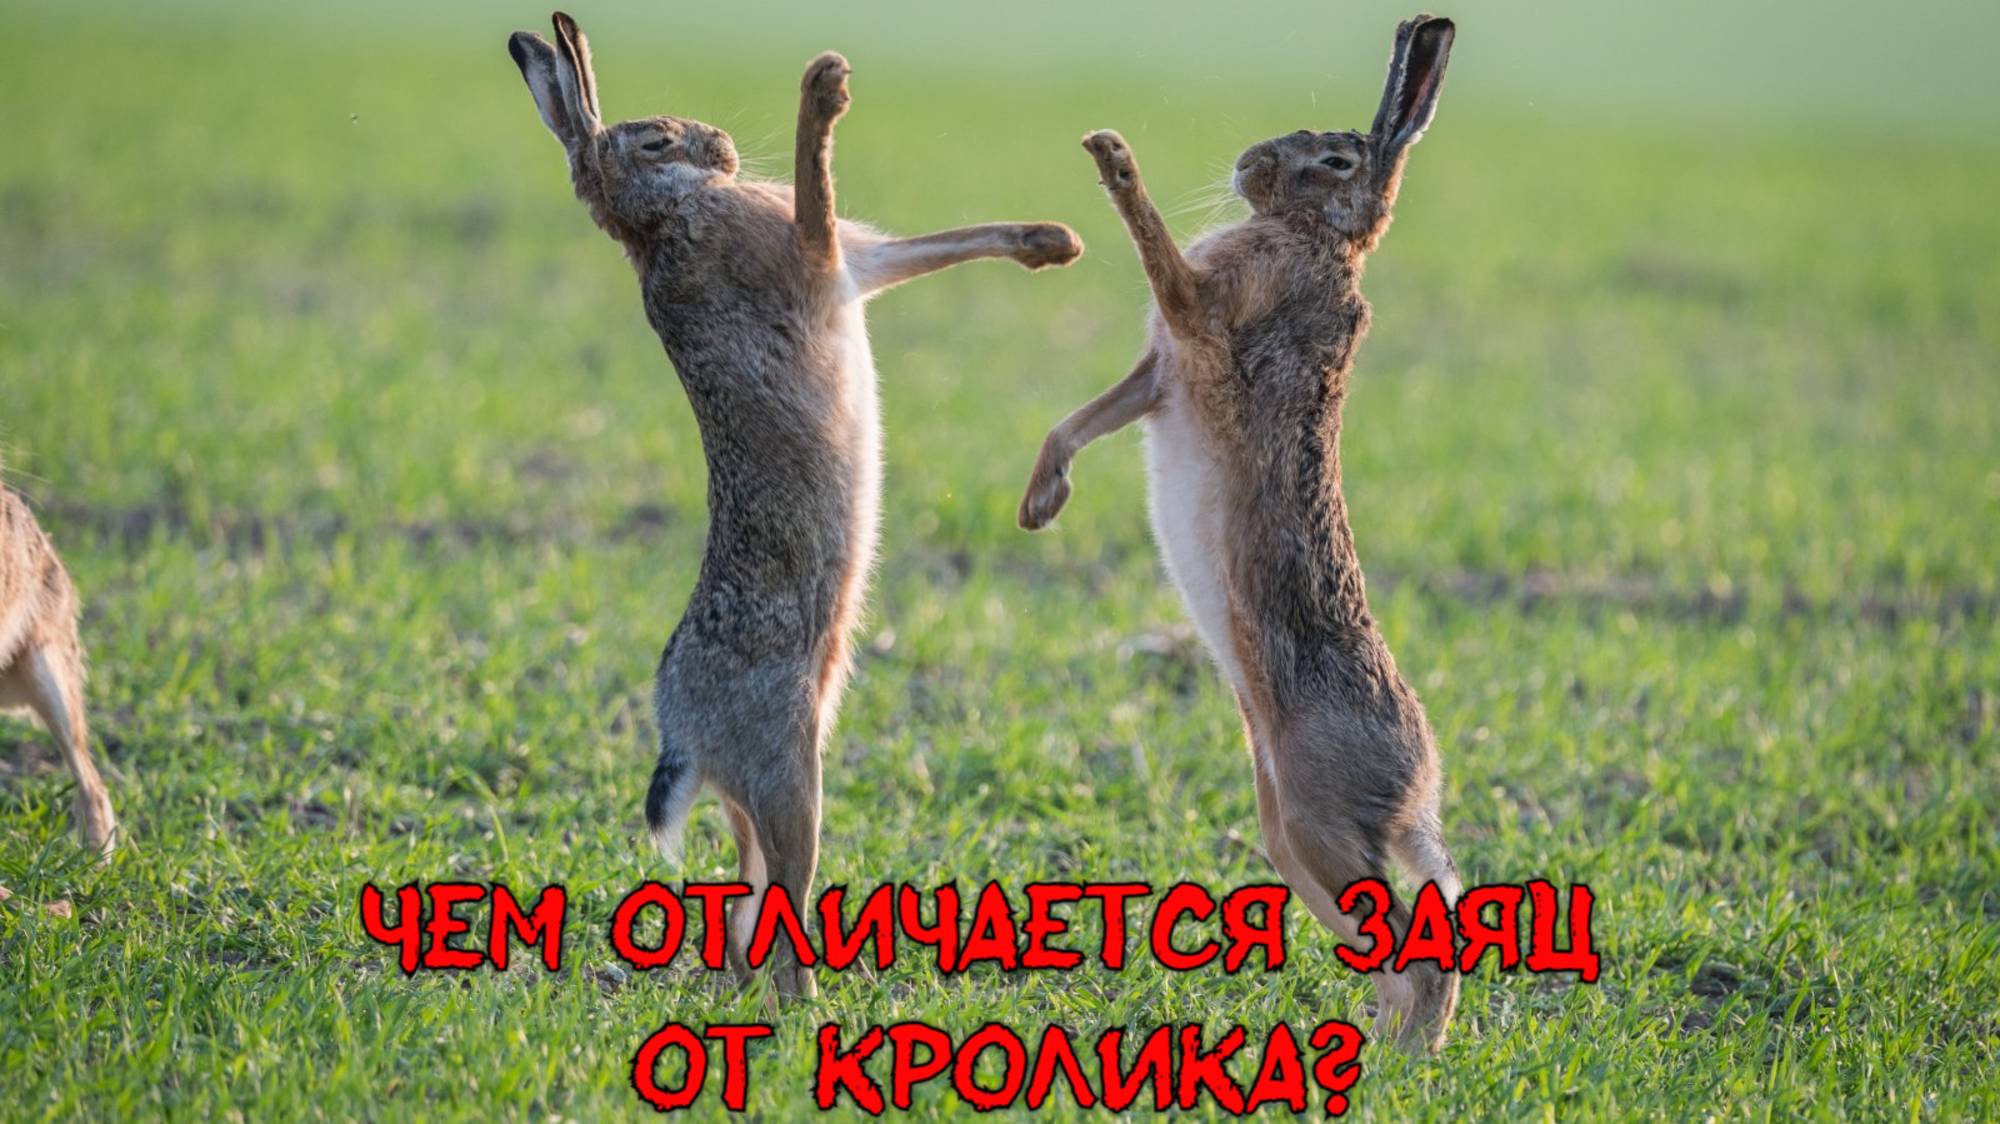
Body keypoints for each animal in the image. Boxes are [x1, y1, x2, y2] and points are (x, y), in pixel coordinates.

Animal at [507, 12, 1081, 995]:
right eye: (655, 142)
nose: (724, 149)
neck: (660, 222)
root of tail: (683, 731)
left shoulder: (856, 262)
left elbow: (936, 240)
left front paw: (1053, 241)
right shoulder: (811, 256)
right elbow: (818, 185)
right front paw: (823, 89)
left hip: (759, 795)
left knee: (745, 902)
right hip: (790, 773)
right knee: (782, 894)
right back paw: (810, 1002)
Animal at [1017, 15, 1461, 1052]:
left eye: (1335, 160)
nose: (1251, 164)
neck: (1318, 243)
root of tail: (1421, 779)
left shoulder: (1197, 315)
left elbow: (1156, 249)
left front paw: (1114, 158)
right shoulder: (1159, 374)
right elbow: (1083, 420)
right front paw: (1040, 501)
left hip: (1317, 821)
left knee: (1421, 954)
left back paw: (1402, 1063)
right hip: (1289, 837)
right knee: (1410, 944)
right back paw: (1382, 1048)